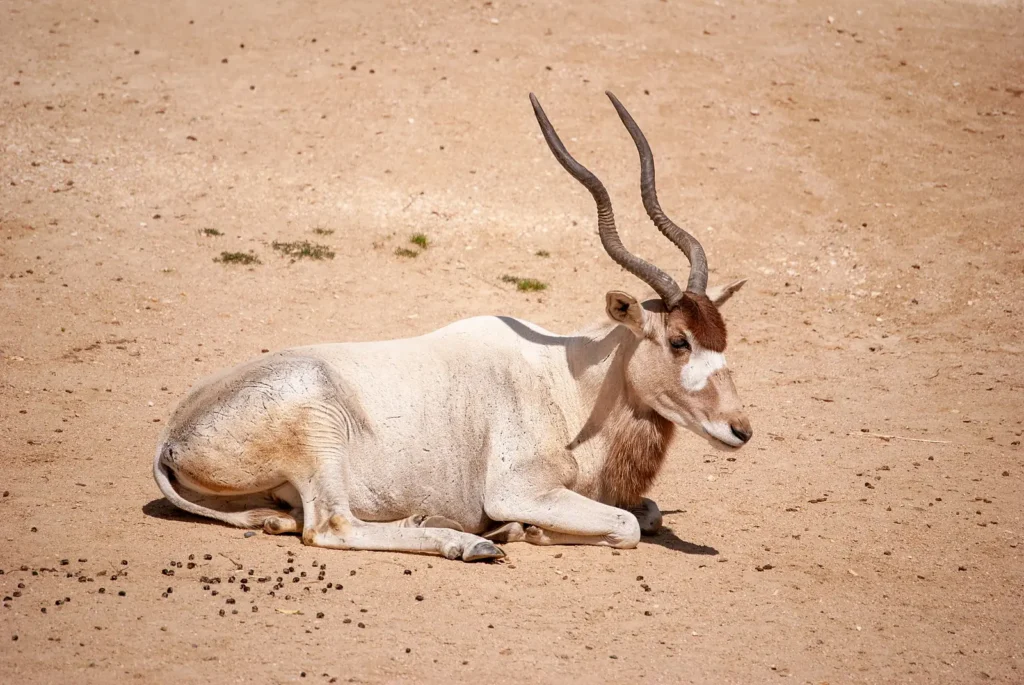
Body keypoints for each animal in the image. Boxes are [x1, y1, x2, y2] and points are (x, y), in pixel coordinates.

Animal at [153, 91, 751, 561]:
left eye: (721, 339)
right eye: (677, 340)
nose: (740, 431)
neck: (574, 383)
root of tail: (173, 433)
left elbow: (647, 513)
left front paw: (523, 532)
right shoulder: (516, 488)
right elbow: (628, 524)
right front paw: (521, 530)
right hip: (319, 434)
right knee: (329, 526)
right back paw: (467, 542)